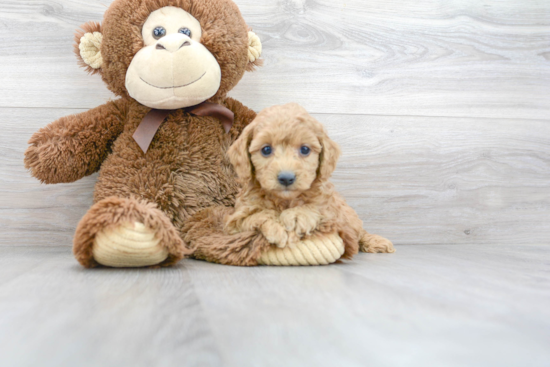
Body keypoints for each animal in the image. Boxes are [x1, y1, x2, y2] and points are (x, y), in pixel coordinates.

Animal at [225, 103, 396, 258]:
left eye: (305, 149)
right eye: (266, 150)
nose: (286, 178)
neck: (284, 201)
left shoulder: (331, 211)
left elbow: (315, 208)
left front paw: (296, 216)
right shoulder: (235, 221)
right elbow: (256, 215)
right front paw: (277, 227)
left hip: (349, 217)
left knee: (359, 232)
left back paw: (375, 241)